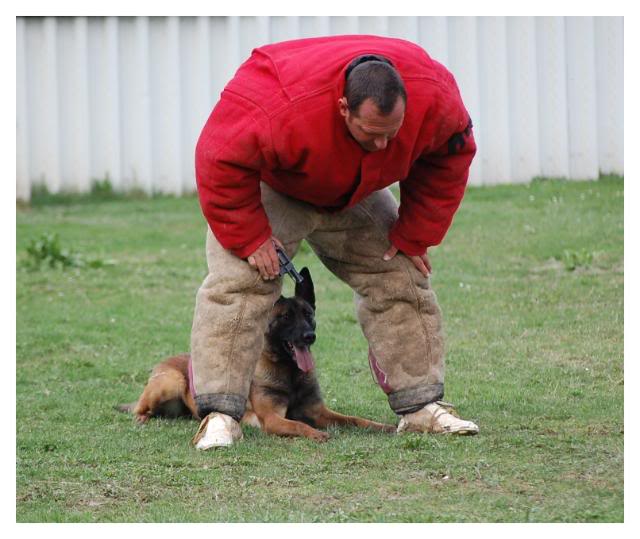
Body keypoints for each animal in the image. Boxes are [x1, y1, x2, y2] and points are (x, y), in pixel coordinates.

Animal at [117, 268, 392, 440]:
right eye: (285, 317)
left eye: (308, 315)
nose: (309, 336)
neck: (289, 374)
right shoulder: (272, 419)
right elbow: (298, 424)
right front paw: (315, 434)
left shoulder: (319, 412)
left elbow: (355, 419)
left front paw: (383, 426)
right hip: (170, 382)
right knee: (139, 408)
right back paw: (141, 418)